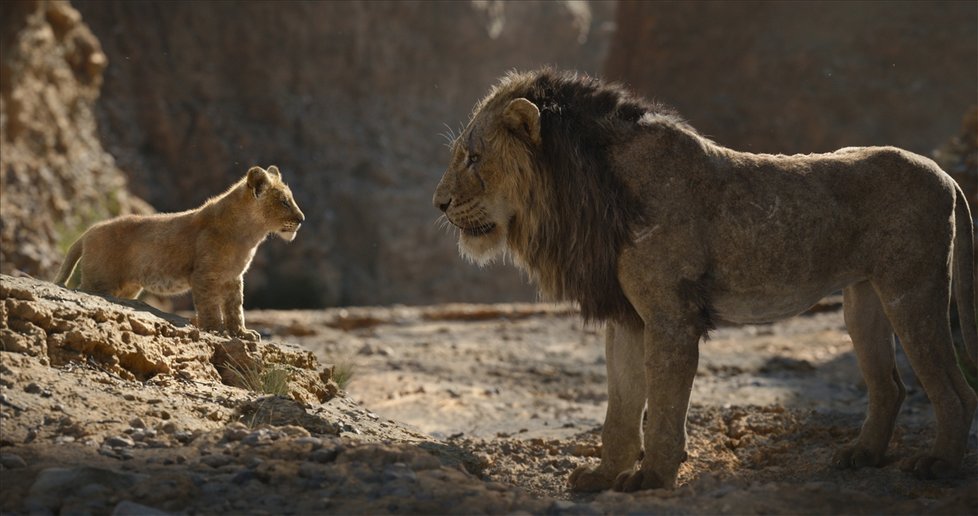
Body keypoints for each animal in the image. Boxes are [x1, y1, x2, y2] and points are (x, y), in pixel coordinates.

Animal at [432, 68, 976, 492]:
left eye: (474, 158)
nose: (439, 203)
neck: (585, 191)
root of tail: (945, 174)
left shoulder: (671, 316)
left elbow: (664, 404)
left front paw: (652, 478)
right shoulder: (627, 317)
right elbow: (620, 407)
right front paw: (604, 476)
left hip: (912, 291)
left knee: (954, 389)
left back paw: (939, 464)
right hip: (862, 301)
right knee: (891, 387)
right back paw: (861, 455)